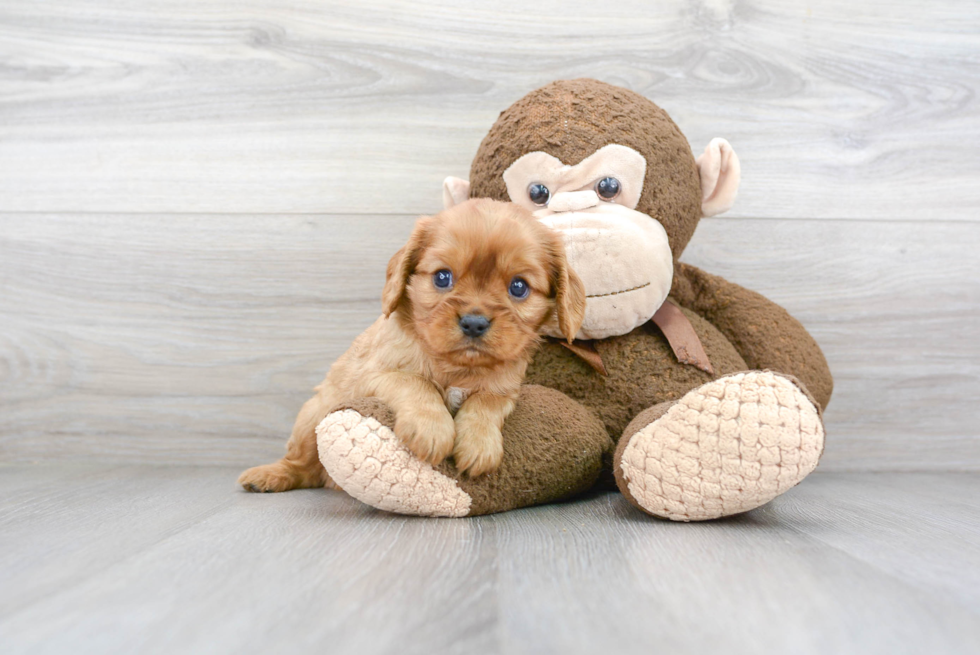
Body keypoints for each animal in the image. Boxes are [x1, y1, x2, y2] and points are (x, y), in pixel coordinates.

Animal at [238, 200, 584, 492]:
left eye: (519, 287)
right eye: (442, 277)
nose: (474, 323)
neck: (457, 368)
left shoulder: (506, 390)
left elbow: (485, 402)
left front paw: (479, 445)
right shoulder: (373, 376)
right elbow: (416, 382)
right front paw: (432, 429)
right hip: (313, 416)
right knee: (305, 466)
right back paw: (269, 475)